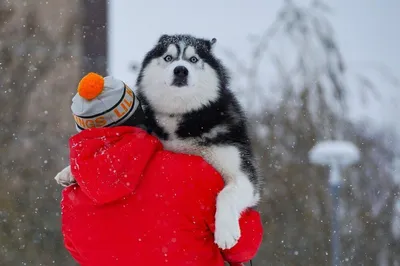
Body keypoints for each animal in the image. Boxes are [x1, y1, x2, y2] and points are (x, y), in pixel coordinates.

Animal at [138, 34, 260, 249]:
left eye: (193, 59)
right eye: (168, 57)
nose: (180, 69)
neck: (183, 116)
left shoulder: (242, 172)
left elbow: (226, 194)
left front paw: (225, 231)